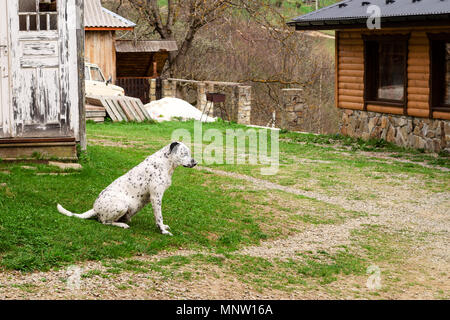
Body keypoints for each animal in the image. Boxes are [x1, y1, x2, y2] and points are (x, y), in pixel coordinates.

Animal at [56, 142, 197, 235]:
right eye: (184, 153)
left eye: (189, 153)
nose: (195, 163)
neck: (166, 163)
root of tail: (95, 208)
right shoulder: (156, 197)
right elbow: (159, 217)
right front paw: (162, 230)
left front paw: (163, 227)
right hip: (121, 205)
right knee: (104, 221)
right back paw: (122, 224)